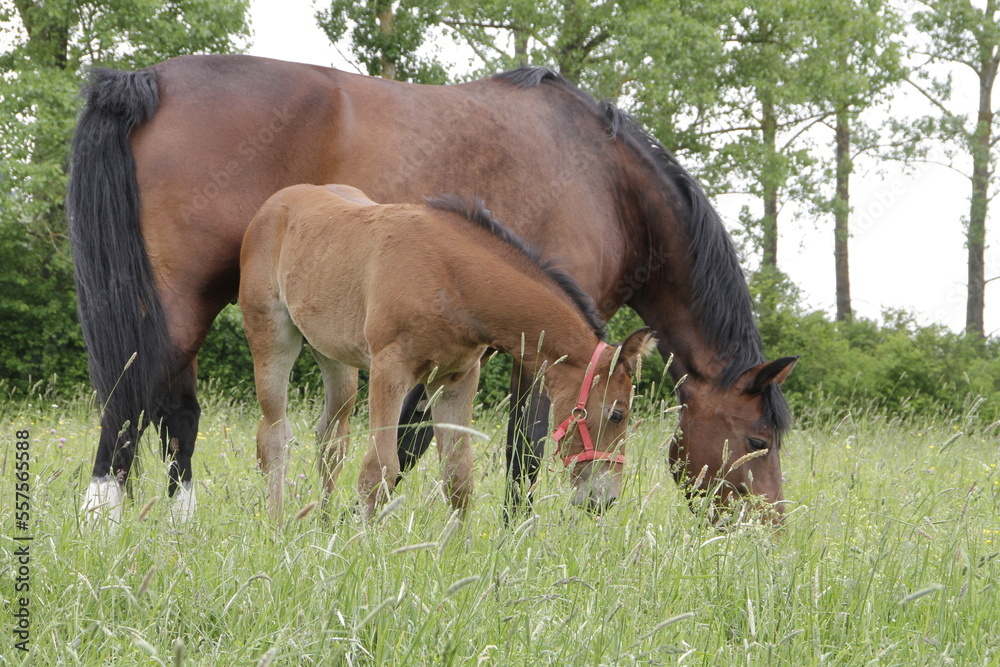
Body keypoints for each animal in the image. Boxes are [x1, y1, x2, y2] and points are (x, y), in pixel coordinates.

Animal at [239, 183, 655, 519]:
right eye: (618, 414)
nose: (604, 499)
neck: (450, 277)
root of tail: (276, 201)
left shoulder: (455, 379)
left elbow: (458, 478)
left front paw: (456, 552)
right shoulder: (390, 368)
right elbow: (380, 469)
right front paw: (364, 551)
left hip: (334, 355)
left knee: (331, 438)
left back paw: (321, 525)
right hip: (272, 336)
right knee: (274, 436)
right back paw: (278, 524)